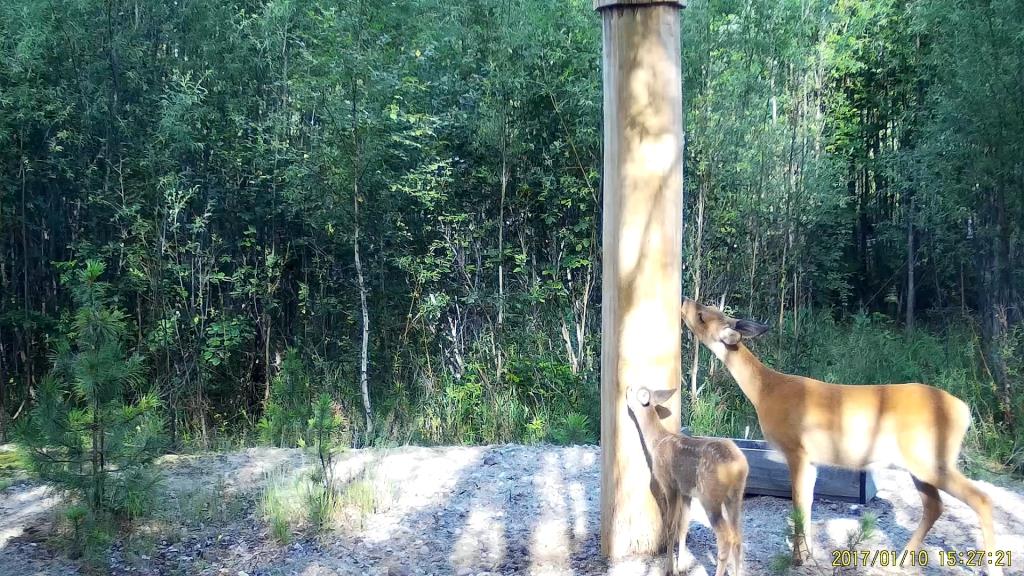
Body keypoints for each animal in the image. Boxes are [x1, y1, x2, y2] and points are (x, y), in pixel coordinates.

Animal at [618, 383, 749, 569]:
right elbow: (683, 526)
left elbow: (670, 526)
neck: (657, 442)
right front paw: (681, 566)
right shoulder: (686, 491)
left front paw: (669, 568)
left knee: (726, 537)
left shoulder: (669, 484)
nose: (627, 386)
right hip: (736, 495)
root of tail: (738, 467)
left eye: (631, 391)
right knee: (738, 536)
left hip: (710, 495)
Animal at [679, 295, 999, 569]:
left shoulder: (796, 449)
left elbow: (798, 504)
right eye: (707, 308)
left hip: (929, 458)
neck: (765, 391)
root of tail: (964, 410)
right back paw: (902, 559)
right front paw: (807, 556)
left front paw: (797, 559)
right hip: (919, 463)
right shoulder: (812, 460)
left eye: (703, 316)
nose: (684, 301)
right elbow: (807, 505)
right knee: (935, 506)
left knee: (981, 499)